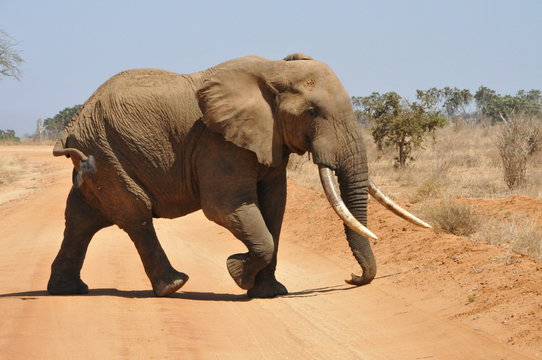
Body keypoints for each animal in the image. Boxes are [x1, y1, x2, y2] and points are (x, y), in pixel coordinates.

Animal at [49, 51, 432, 298]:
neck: (274, 71)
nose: (351, 277)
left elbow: (274, 206)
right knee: (136, 215)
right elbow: (226, 206)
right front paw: (238, 273)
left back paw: (68, 290)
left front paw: (270, 293)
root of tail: (72, 125)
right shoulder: (216, 141)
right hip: (107, 152)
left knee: (81, 218)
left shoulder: (269, 139)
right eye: (312, 112)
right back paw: (175, 286)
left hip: (99, 158)